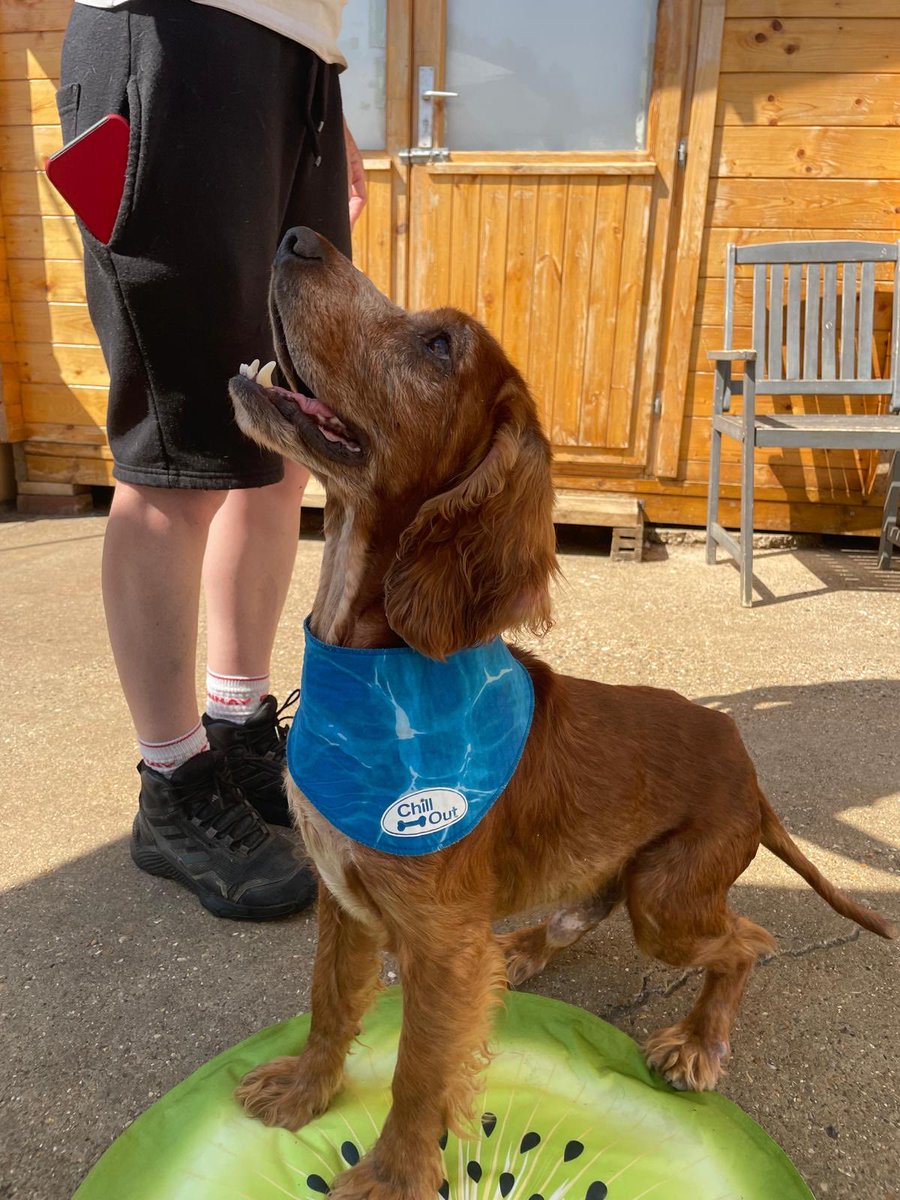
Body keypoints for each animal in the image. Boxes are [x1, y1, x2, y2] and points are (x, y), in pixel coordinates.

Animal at [226, 226, 897, 1200]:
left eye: (440, 346)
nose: (298, 236)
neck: (376, 669)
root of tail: (745, 763)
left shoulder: (440, 946)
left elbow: (419, 1073)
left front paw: (390, 1176)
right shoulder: (342, 900)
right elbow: (326, 1005)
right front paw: (305, 1089)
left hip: (668, 898)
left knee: (748, 938)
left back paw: (697, 1041)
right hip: (611, 876)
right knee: (589, 913)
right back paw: (527, 949)